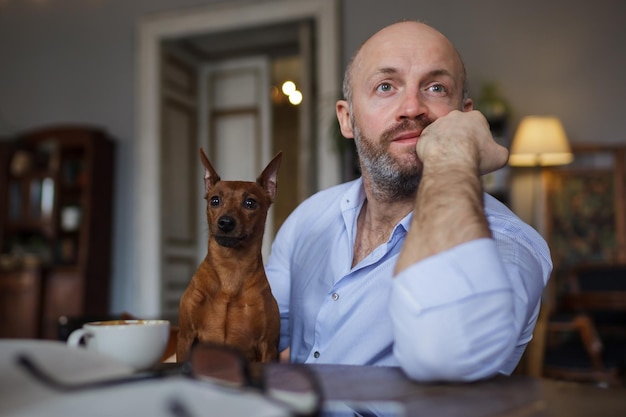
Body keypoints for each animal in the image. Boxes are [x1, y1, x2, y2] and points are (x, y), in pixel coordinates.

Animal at [177, 148, 282, 362]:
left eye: (250, 203)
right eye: (215, 200)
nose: (225, 222)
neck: (231, 267)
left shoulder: (268, 346)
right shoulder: (185, 337)